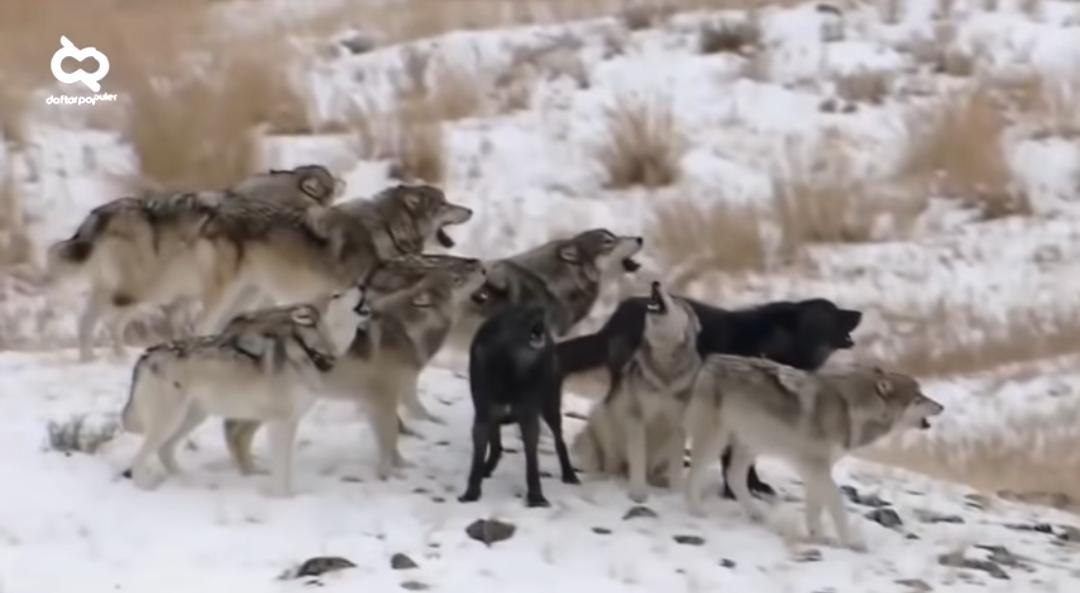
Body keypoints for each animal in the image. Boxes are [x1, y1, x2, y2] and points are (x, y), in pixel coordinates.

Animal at [120, 288, 366, 497]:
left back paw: (186, 482)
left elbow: (286, 469)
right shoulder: (279, 424)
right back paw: (146, 488)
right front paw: (283, 499)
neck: (309, 352)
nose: (362, 287)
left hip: (192, 418)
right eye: (337, 294)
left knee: (164, 450)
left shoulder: (291, 422)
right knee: (140, 459)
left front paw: (290, 496)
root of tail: (146, 355)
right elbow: (281, 469)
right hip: (169, 422)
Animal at [221, 257, 487, 479]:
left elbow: (393, 437)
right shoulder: (384, 399)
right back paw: (249, 473)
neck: (408, 329)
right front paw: (388, 473)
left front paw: (400, 464)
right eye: (457, 277)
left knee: (232, 431)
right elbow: (391, 435)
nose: (482, 267)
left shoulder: (377, 401)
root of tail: (233, 325)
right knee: (235, 434)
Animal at [459, 306, 578, 508]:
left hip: (550, 408)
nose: (541, 311)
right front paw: (471, 493)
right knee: (497, 447)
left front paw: (536, 498)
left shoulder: (529, 419)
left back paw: (569, 475)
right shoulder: (483, 418)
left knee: (559, 441)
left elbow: (532, 464)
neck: (511, 371)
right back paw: (486, 469)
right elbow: (477, 459)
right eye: (520, 313)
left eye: (539, 308)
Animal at [562, 296, 863, 497]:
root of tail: (617, 315)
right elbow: (733, 461)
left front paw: (754, 486)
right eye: (831, 311)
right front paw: (734, 492)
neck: (773, 346)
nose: (860, 312)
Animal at [684, 356, 944, 550]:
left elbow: (814, 509)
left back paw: (755, 514)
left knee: (733, 476)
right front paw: (849, 542)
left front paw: (817, 537)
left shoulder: (815, 471)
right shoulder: (817, 469)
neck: (851, 410)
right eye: (918, 397)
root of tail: (710, 361)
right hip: (717, 441)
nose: (942, 406)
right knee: (695, 473)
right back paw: (696, 510)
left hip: (751, 446)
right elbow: (837, 504)